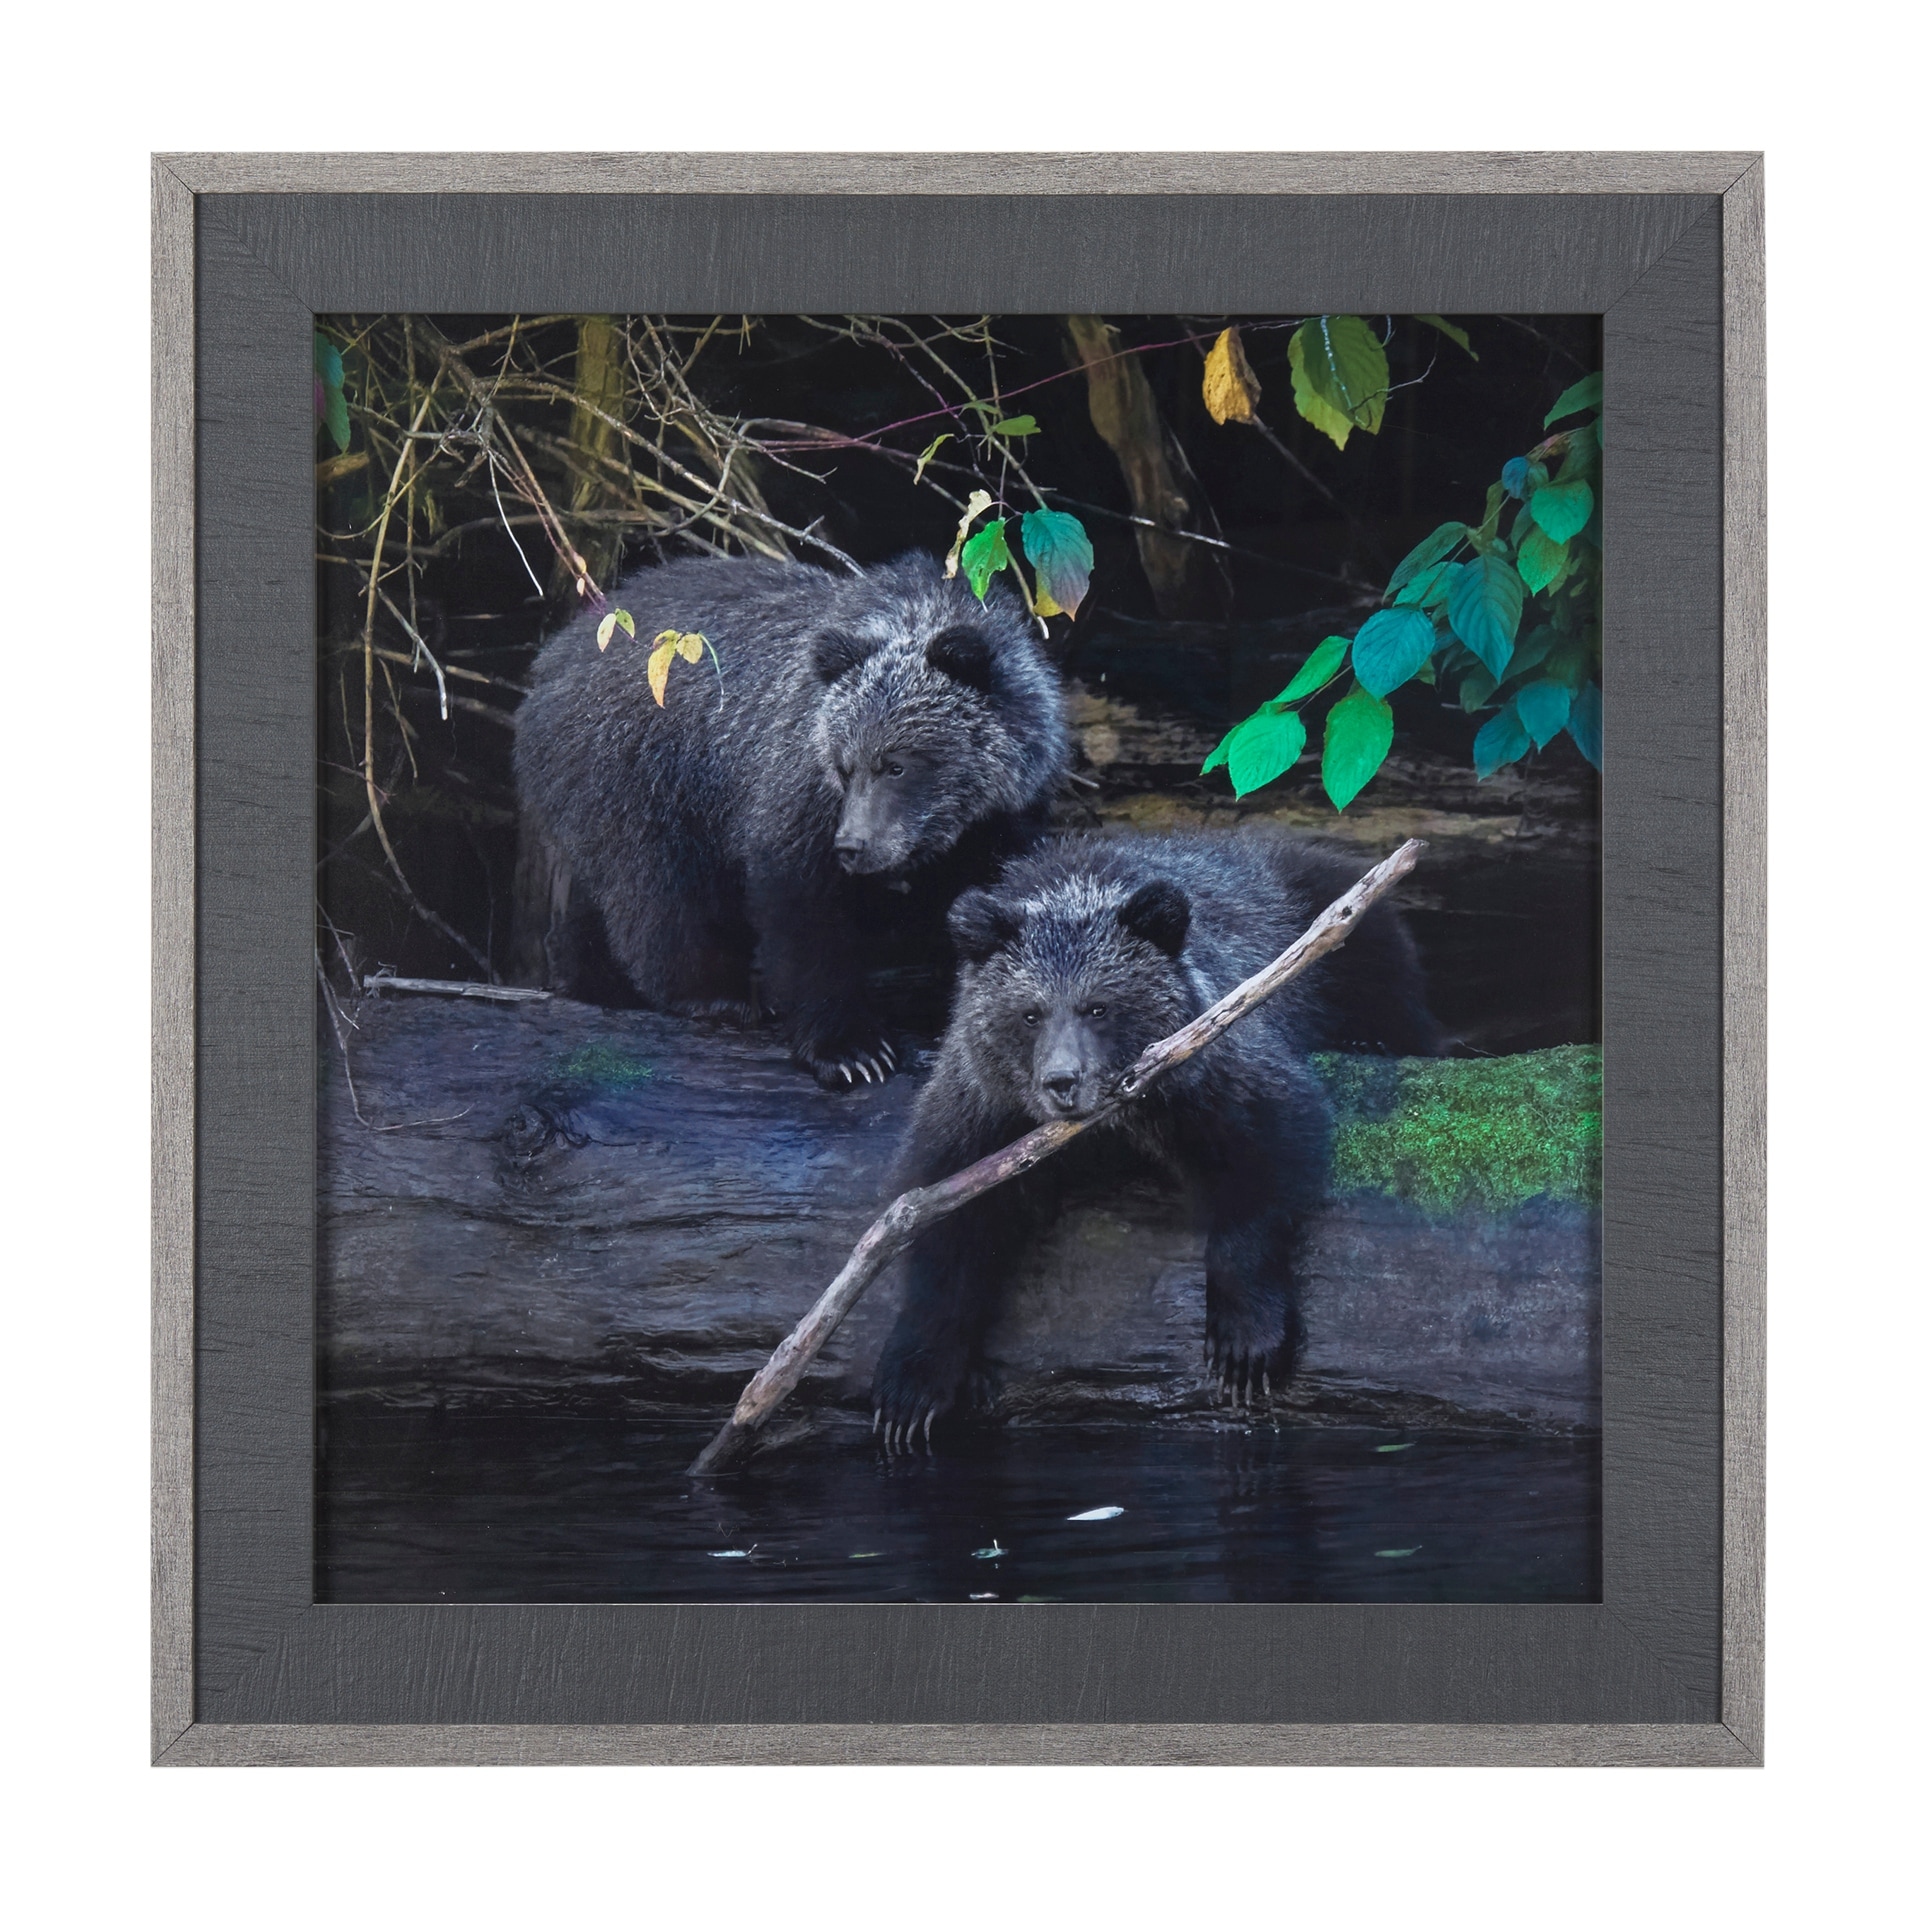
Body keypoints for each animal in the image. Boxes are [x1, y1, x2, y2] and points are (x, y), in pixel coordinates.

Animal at [513, 551, 1069, 1087]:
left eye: (897, 764)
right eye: (845, 765)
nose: (853, 845)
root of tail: (550, 663)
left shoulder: (1001, 818)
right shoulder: (797, 787)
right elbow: (800, 906)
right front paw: (852, 1050)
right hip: (642, 779)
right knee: (657, 890)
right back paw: (713, 993)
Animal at [869, 829, 1438, 1440]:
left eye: (1098, 1007)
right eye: (1029, 1013)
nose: (1062, 1082)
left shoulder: (1208, 1068)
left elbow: (1266, 1151)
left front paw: (1245, 1343)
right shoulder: (986, 1111)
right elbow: (945, 1223)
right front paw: (911, 1390)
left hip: (1328, 912)